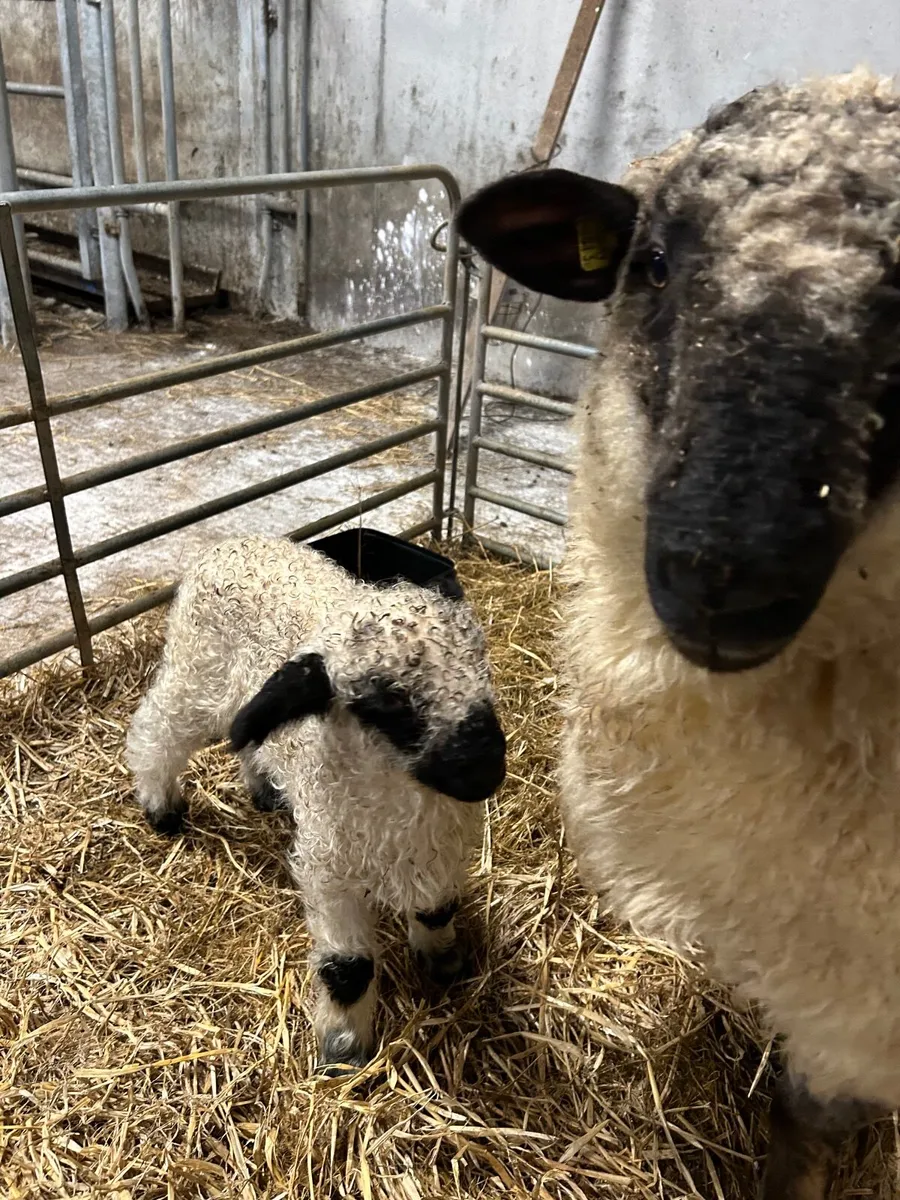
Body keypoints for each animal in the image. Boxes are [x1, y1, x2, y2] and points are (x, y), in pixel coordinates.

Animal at [125, 535, 506, 1074]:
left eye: (480, 670)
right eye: (388, 702)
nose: (485, 770)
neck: (399, 798)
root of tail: (232, 541)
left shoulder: (437, 848)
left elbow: (436, 908)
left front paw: (443, 959)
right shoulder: (330, 867)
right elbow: (348, 968)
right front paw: (343, 1050)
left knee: (247, 739)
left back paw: (263, 790)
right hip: (199, 672)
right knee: (158, 726)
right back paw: (160, 805)